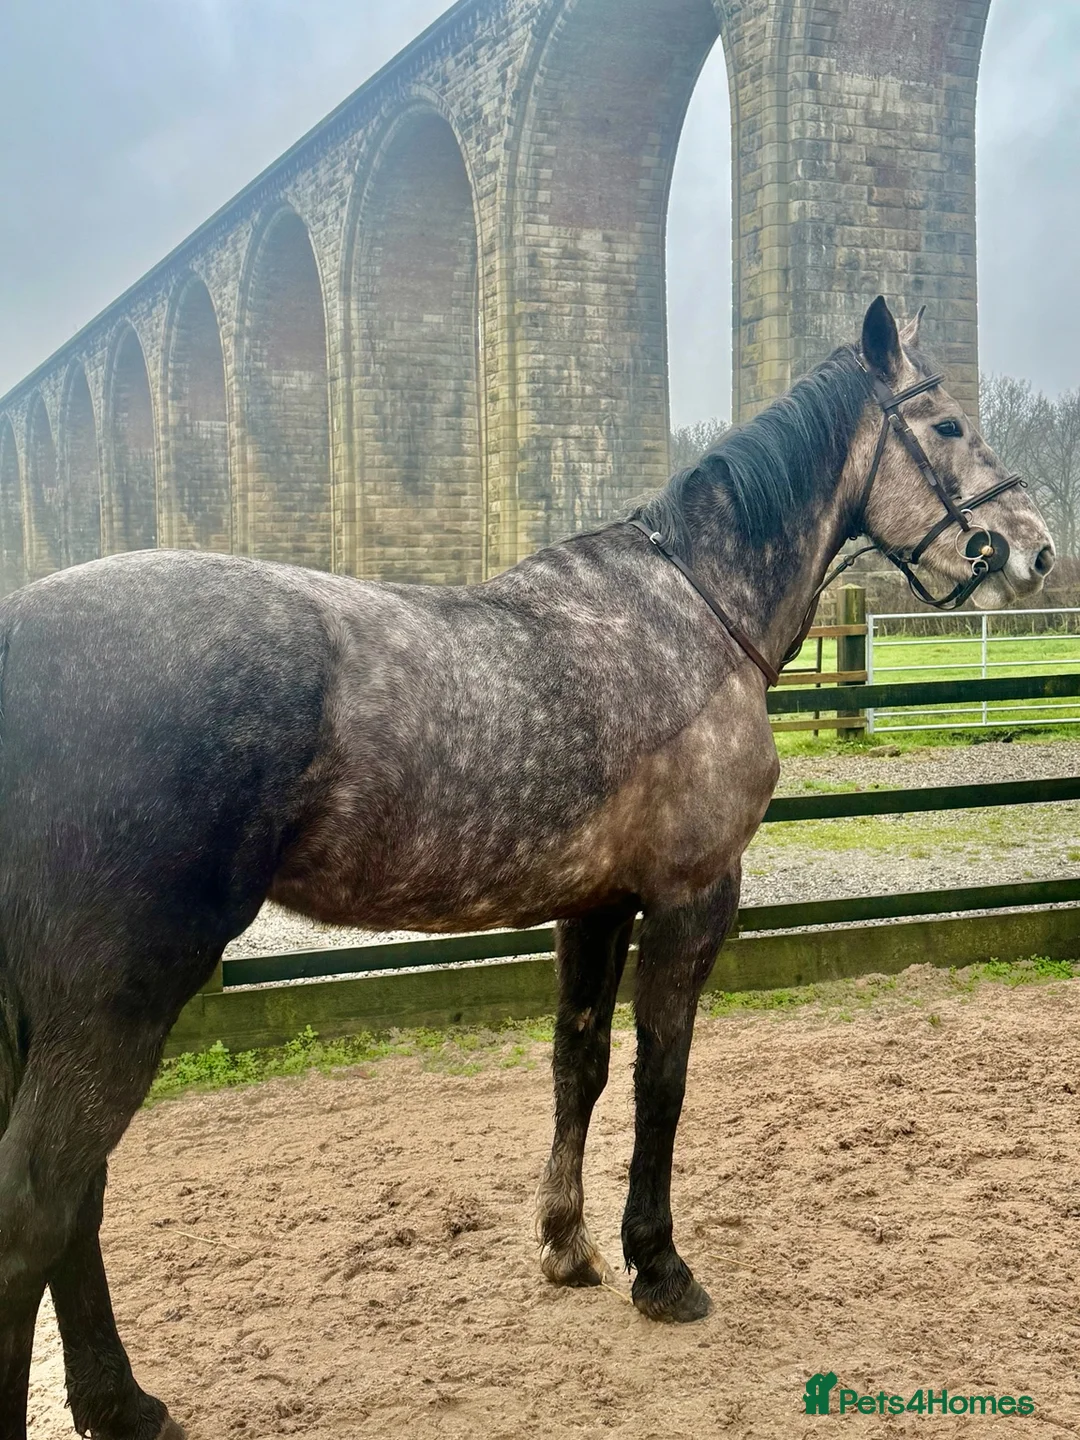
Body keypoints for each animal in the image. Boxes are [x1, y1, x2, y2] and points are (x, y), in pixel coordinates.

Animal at [0, 298, 1054, 1438]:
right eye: (946, 424)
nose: (1037, 553)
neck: (692, 605)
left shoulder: (594, 905)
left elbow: (578, 1064)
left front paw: (566, 1245)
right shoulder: (691, 900)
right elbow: (662, 1078)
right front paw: (659, 1267)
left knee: (75, 1202)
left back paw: (121, 1404)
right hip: (115, 1000)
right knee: (40, 1202)